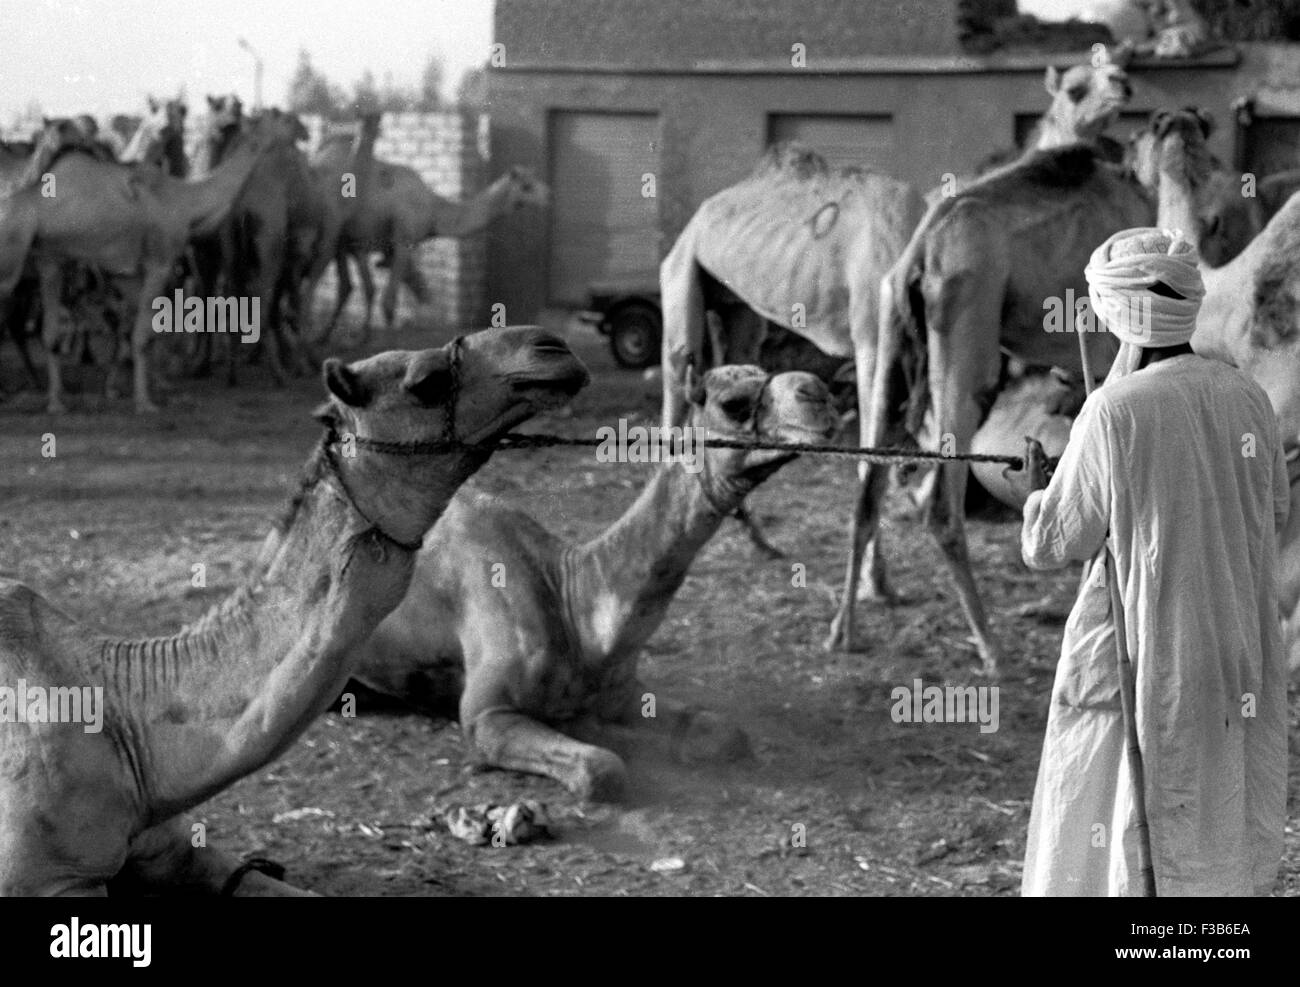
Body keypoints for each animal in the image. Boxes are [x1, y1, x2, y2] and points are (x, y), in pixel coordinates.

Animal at [0, 111, 276, 413]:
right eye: (281, 121)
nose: (295, 132)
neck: (185, 201)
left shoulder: (123, 272)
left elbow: (136, 331)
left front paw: (107, 391)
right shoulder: (160, 262)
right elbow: (143, 334)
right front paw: (144, 402)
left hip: (46, 260)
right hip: (12, 257)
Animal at [356, 364, 837, 801]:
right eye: (734, 404)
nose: (818, 393)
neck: (570, 595)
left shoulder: (624, 691)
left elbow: (724, 733)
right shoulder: (488, 713)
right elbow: (601, 771)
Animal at [826, 143, 1154, 676]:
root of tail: (917, 258)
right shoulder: (1109, 354)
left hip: (890, 340)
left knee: (867, 487)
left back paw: (844, 630)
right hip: (967, 344)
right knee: (941, 505)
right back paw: (991, 647)